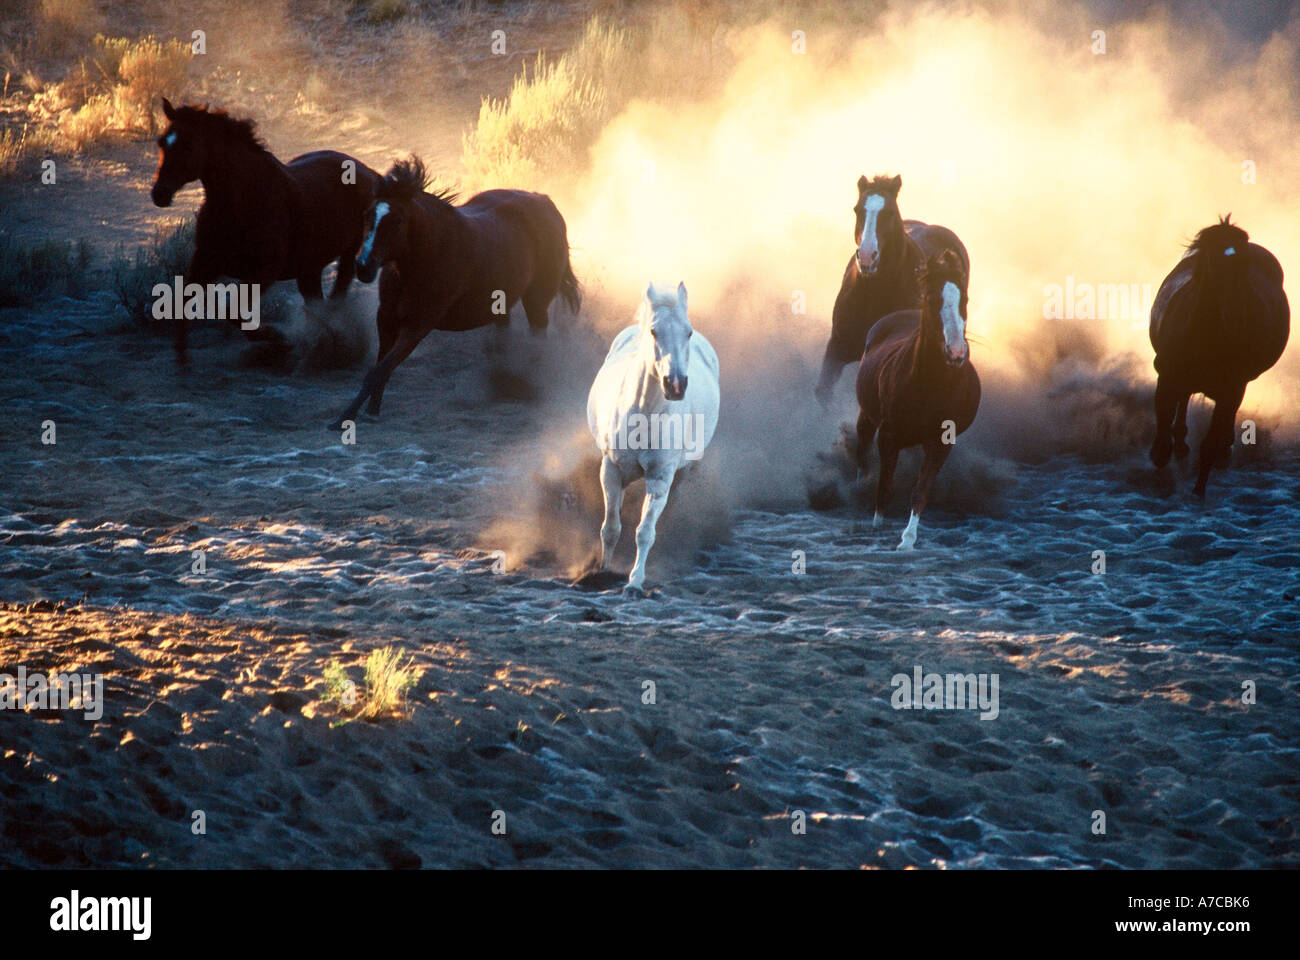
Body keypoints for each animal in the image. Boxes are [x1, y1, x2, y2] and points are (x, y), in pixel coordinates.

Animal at [150, 97, 379, 361]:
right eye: (162, 142)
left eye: (187, 145)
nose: (159, 193)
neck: (241, 201)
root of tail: (369, 173)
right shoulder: (205, 263)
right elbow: (184, 303)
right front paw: (182, 359)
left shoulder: (265, 272)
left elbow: (232, 311)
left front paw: (278, 338)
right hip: (309, 268)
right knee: (317, 303)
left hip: (349, 254)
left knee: (337, 295)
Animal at [590, 280, 722, 590]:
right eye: (653, 331)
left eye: (688, 331)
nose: (675, 384)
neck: (643, 413)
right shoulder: (610, 470)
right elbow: (610, 527)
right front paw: (602, 570)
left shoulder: (661, 477)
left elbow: (645, 531)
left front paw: (634, 582)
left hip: (682, 471)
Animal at [852, 247, 977, 548]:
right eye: (932, 299)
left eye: (965, 299)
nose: (956, 353)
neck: (929, 385)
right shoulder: (888, 436)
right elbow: (885, 486)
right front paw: (877, 525)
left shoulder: (941, 443)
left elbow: (920, 491)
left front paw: (907, 540)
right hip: (867, 416)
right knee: (862, 445)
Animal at [1149, 215, 1289, 494]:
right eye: (1214, 263)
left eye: (1244, 266)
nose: (1237, 316)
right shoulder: (1167, 376)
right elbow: (1164, 420)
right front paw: (1163, 455)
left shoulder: (1231, 389)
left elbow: (1210, 442)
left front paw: (1198, 491)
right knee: (1184, 400)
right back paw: (1181, 445)